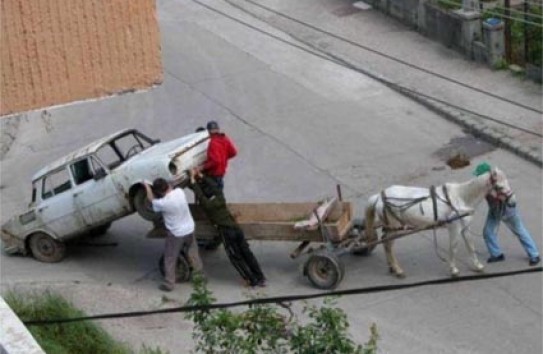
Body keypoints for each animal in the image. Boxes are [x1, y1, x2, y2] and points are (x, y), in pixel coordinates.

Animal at [366, 167, 516, 278]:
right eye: (500, 187)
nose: (513, 202)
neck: (461, 198)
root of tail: (379, 197)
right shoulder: (454, 227)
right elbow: (453, 247)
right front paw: (453, 269)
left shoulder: (464, 227)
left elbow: (470, 246)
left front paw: (477, 266)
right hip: (395, 227)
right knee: (388, 245)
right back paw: (397, 269)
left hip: (390, 227)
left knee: (385, 242)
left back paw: (392, 267)